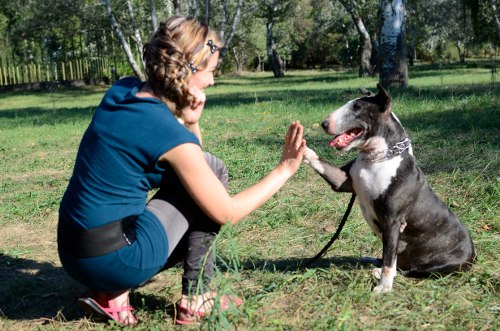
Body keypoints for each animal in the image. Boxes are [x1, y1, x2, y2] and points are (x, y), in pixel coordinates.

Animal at [302, 83, 474, 294]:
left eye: (357, 108)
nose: (324, 124)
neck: (377, 157)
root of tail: (474, 255)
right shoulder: (343, 181)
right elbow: (320, 161)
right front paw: (299, 146)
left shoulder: (393, 221)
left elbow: (389, 261)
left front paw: (383, 287)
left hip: (441, 267)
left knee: (405, 269)